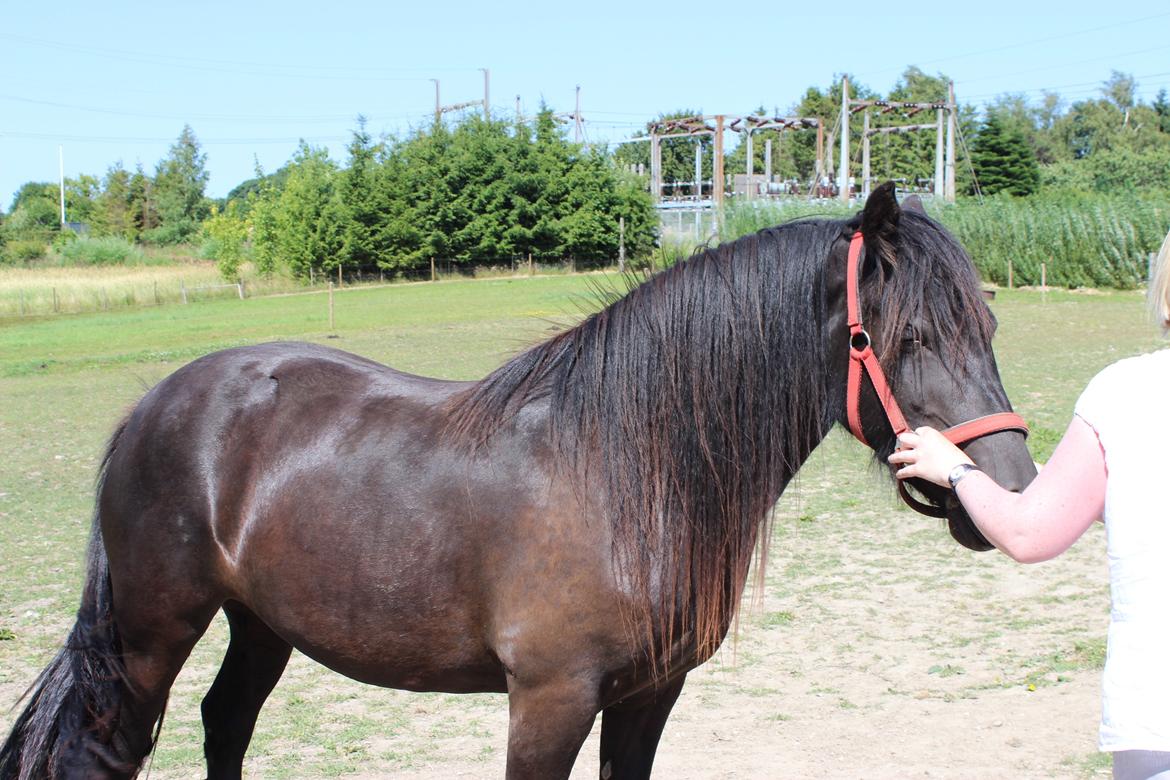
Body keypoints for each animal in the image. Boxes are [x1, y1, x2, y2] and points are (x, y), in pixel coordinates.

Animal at [0, 182, 1037, 779]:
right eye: (907, 337)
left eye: (991, 325)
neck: (623, 468)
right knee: (110, 747)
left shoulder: (647, 697)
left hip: (261, 623)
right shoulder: (549, 701)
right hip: (150, 634)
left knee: (225, 725)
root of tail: (154, 404)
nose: (1016, 487)